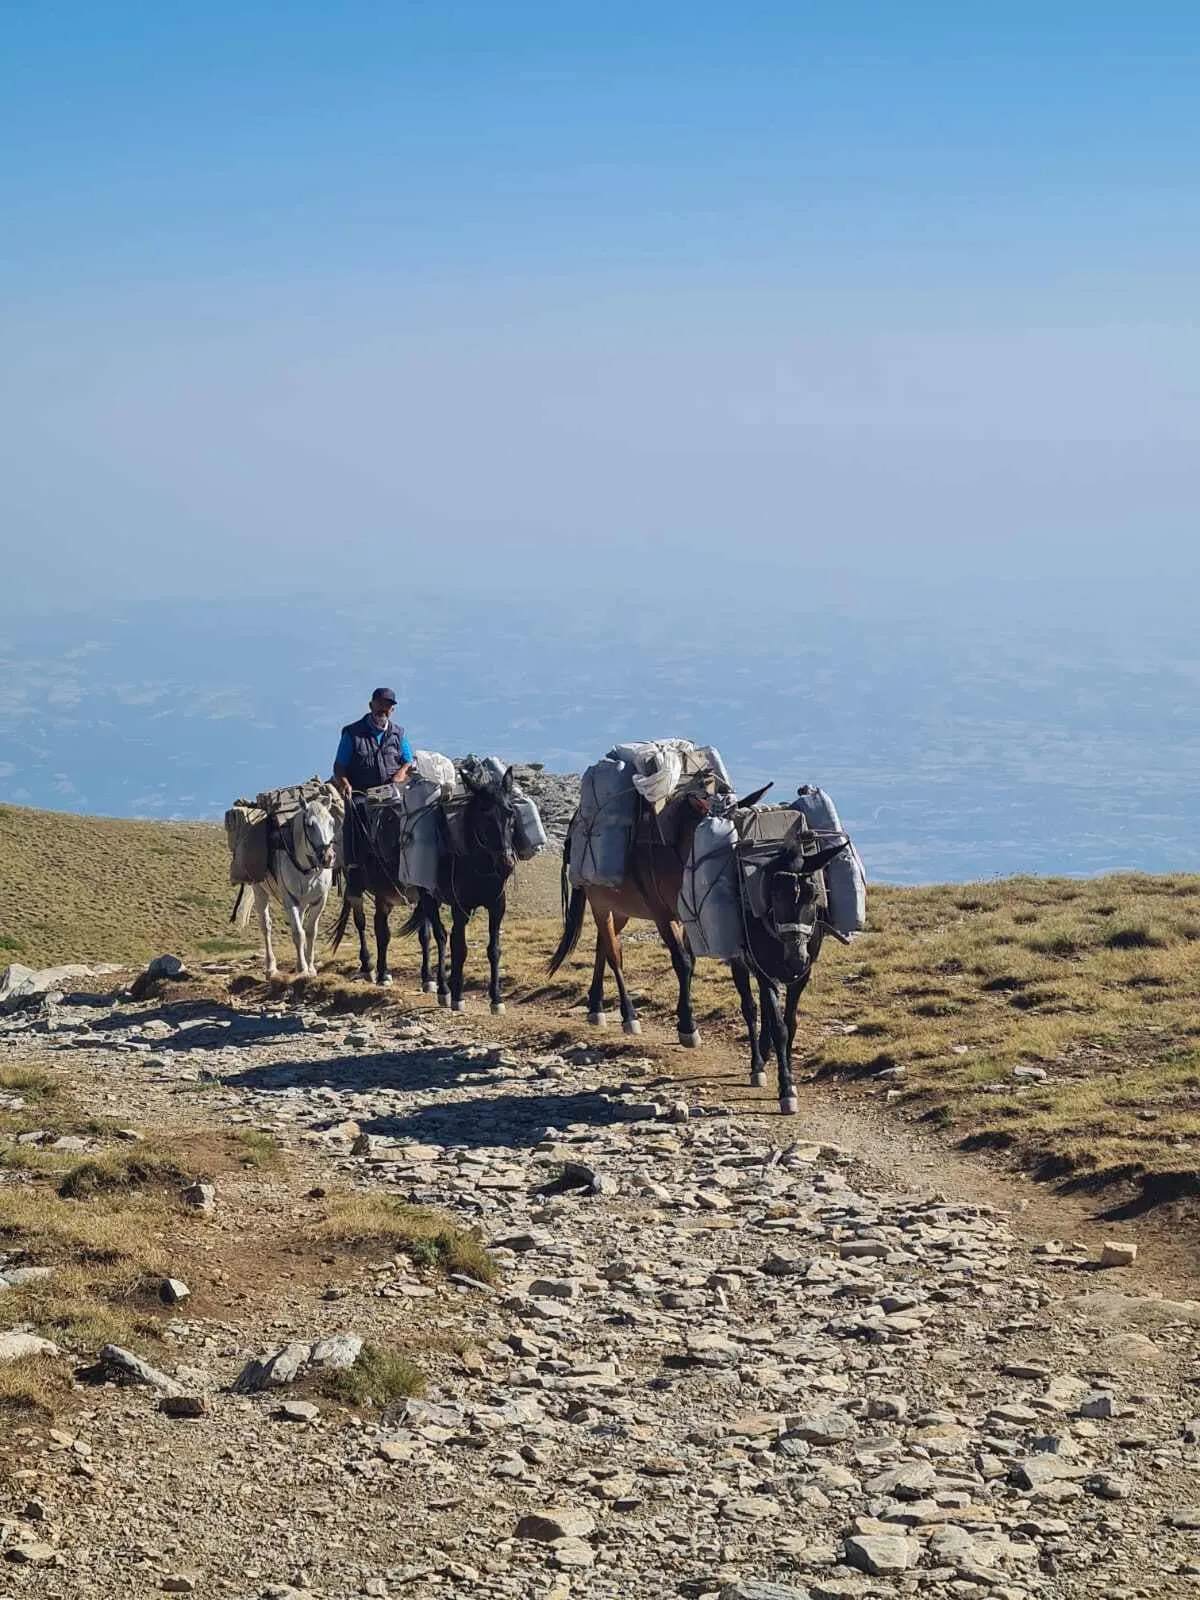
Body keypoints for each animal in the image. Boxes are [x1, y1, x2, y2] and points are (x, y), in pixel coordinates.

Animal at [233, 796, 339, 972]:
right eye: (309, 825)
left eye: (331, 822)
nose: (327, 857)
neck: (307, 867)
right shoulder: (290, 899)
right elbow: (298, 933)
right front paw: (302, 968)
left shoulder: (319, 900)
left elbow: (310, 931)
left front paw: (310, 966)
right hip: (259, 891)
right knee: (266, 927)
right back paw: (270, 966)